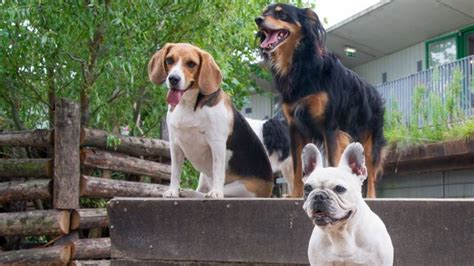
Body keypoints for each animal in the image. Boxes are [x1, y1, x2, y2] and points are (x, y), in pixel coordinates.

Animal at [256, 2, 386, 197]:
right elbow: (298, 168)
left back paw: (371, 196)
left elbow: (332, 163)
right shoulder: (295, 127)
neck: (301, 63)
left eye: (282, 14)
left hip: (370, 140)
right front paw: (296, 195)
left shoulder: (329, 126)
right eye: (265, 12)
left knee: (371, 171)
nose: (258, 20)